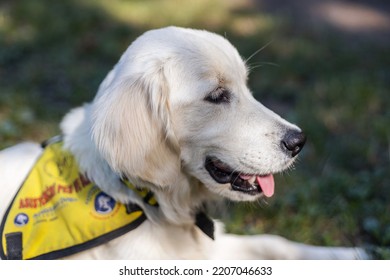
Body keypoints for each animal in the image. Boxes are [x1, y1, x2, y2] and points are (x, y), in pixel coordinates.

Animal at [0, 27, 368, 260]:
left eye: (247, 86)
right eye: (217, 95)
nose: (298, 140)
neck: (145, 198)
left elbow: (274, 243)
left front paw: (352, 253)